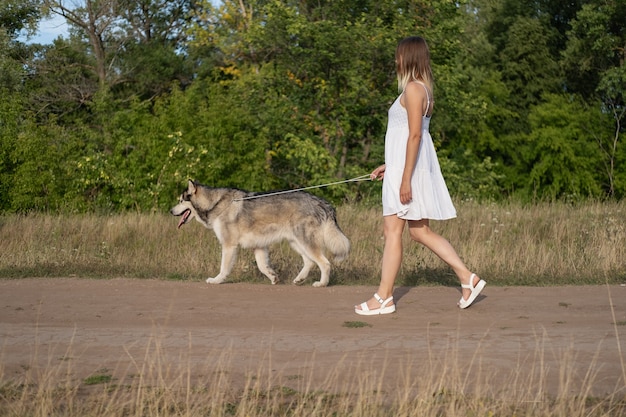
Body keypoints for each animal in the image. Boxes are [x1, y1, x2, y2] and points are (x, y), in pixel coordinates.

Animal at [168, 179, 348, 286]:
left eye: (181, 200)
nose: (170, 211)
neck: (215, 203)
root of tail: (321, 201)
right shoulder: (259, 246)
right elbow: (262, 266)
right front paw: (273, 277)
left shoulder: (229, 245)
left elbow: (224, 267)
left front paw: (217, 280)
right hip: (296, 243)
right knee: (309, 262)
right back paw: (299, 279)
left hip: (305, 242)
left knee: (324, 263)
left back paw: (322, 283)